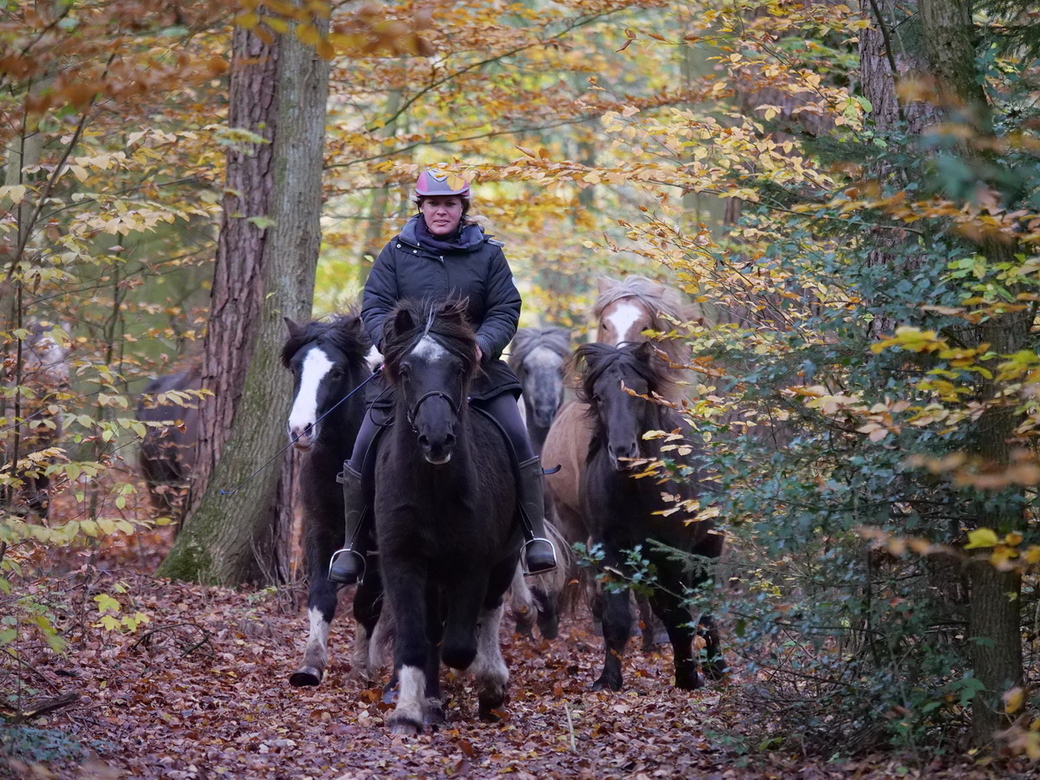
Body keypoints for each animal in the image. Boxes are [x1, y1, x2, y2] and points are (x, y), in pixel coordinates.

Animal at [280, 314, 386, 686]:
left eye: (337, 372)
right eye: (295, 368)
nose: (300, 430)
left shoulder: (378, 541)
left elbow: (366, 604)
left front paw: (361, 668)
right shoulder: (320, 528)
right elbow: (321, 597)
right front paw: (310, 665)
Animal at [374, 297, 524, 732]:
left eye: (458, 369)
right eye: (406, 370)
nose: (437, 439)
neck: (433, 489)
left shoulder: (472, 563)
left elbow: (458, 644)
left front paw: (482, 682)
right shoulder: (402, 561)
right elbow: (415, 637)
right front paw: (410, 710)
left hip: (506, 558)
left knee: (489, 610)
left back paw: (491, 684)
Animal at [578, 341, 723, 690]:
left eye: (640, 392)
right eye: (599, 396)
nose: (622, 452)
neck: (636, 494)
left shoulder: (675, 556)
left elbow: (681, 616)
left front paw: (688, 677)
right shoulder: (609, 552)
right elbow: (617, 620)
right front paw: (608, 680)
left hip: (708, 552)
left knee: (706, 606)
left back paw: (717, 666)